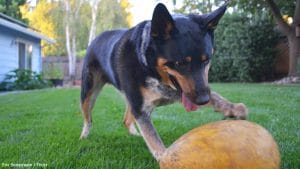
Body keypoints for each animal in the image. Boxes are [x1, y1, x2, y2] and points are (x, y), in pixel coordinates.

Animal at [79, 2, 246, 161]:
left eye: (206, 60)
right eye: (180, 63)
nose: (203, 100)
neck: (150, 67)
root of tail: (97, 37)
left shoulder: (181, 92)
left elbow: (216, 97)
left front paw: (234, 108)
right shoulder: (141, 108)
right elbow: (153, 139)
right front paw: (166, 157)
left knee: (126, 119)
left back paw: (134, 134)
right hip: (88, 92)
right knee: (88, 118)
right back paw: (84, 136)